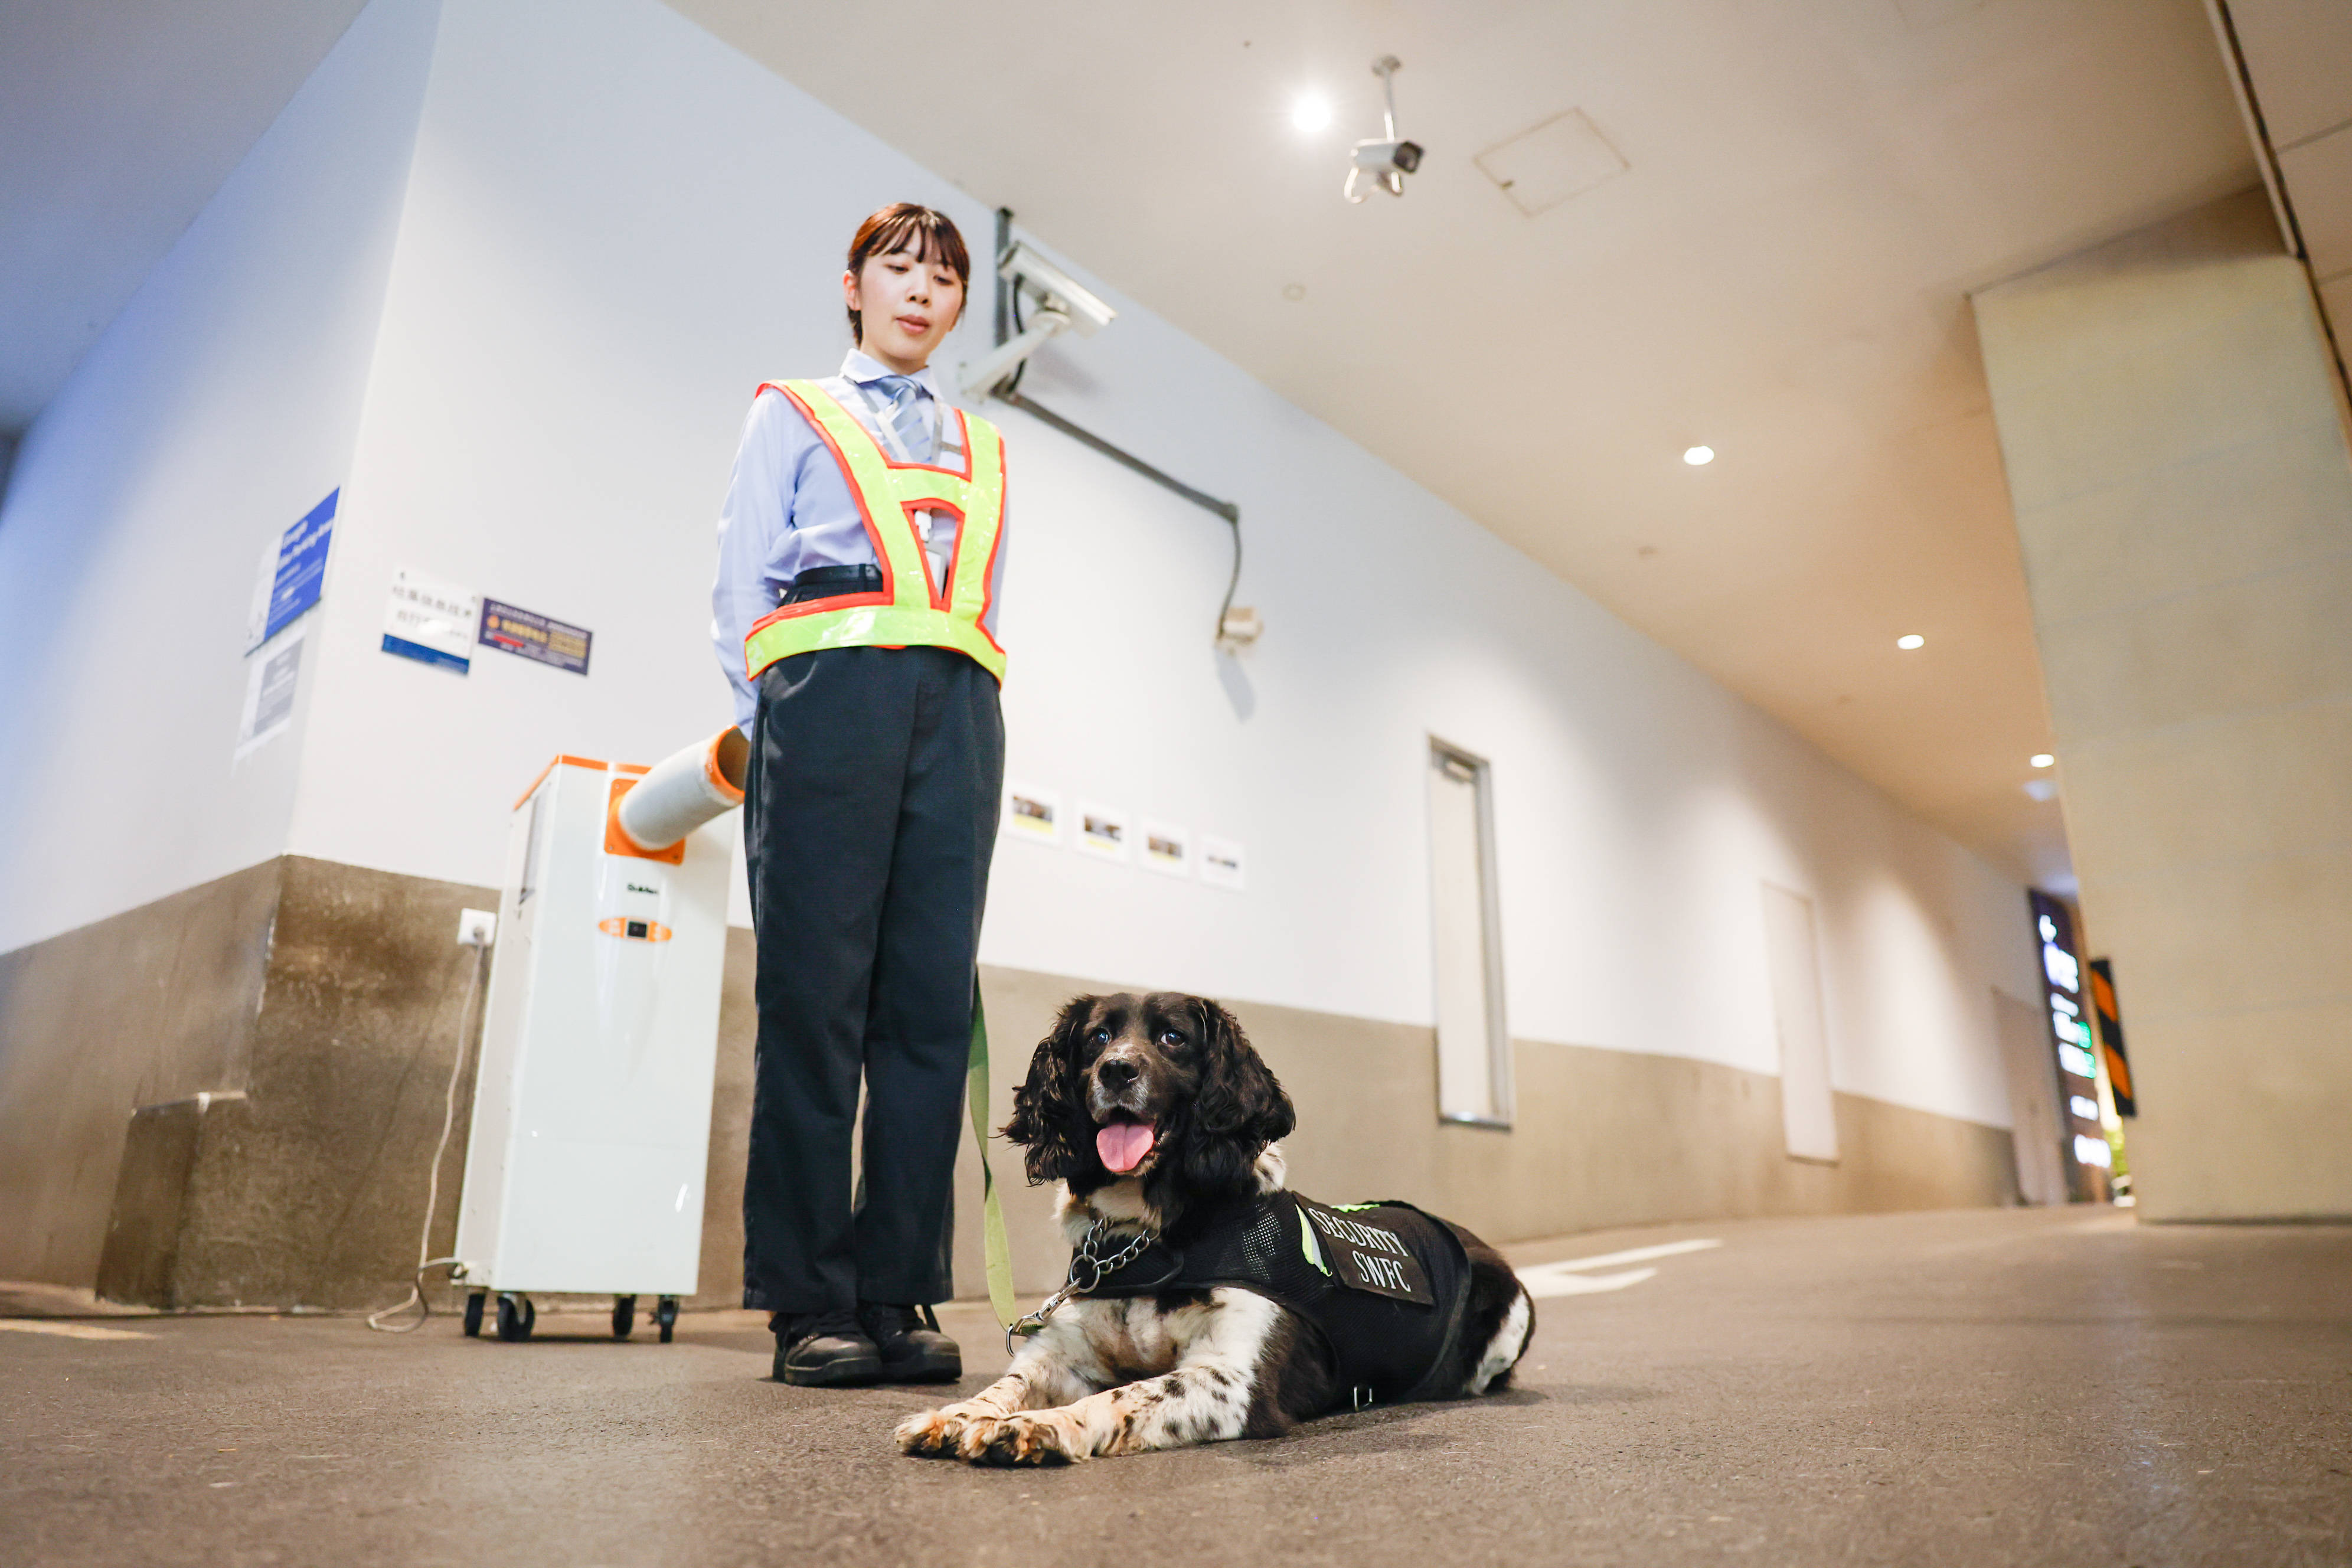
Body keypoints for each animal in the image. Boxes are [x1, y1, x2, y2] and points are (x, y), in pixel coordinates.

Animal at [888, 1001, 1533, 1466]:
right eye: (1097, 1037)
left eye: (1174, 1038)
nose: (1117, 1069)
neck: (1151, 1235)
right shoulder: (1062, 1352)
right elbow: (1009, 1383)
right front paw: (958, 1415)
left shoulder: (1233, 1381)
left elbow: (1123, 1395)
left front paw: (1041, 1426)